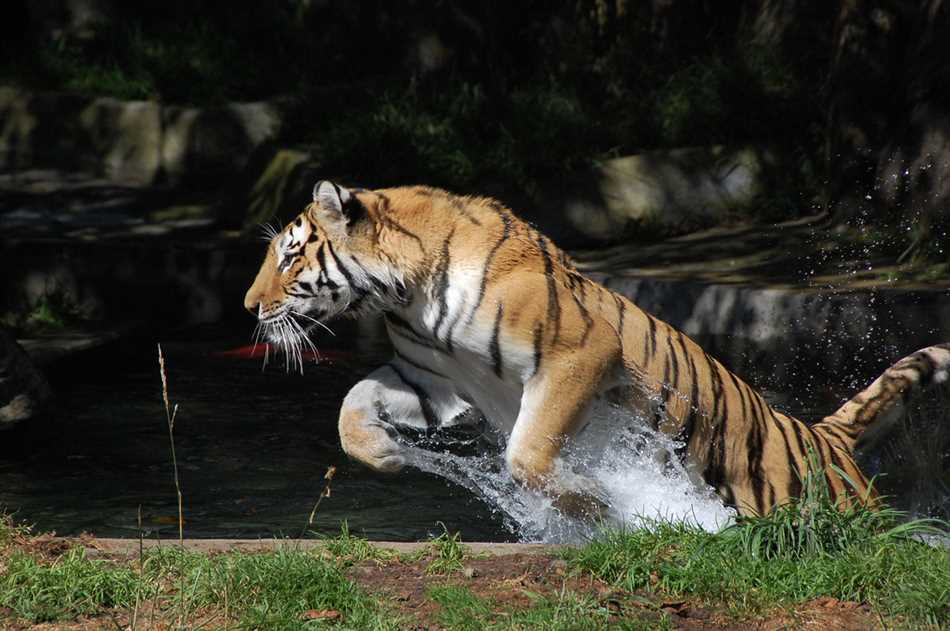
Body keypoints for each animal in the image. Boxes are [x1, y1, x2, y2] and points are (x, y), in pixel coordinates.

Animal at [245, 181, 950, 520]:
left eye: (290, 255)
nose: (250, 307)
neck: (406, 294)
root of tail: (825, 436)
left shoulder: (577, 355)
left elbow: (528, 455)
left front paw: (598, 506)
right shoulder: (431, 377)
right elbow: (350, 404)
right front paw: (385, 455)